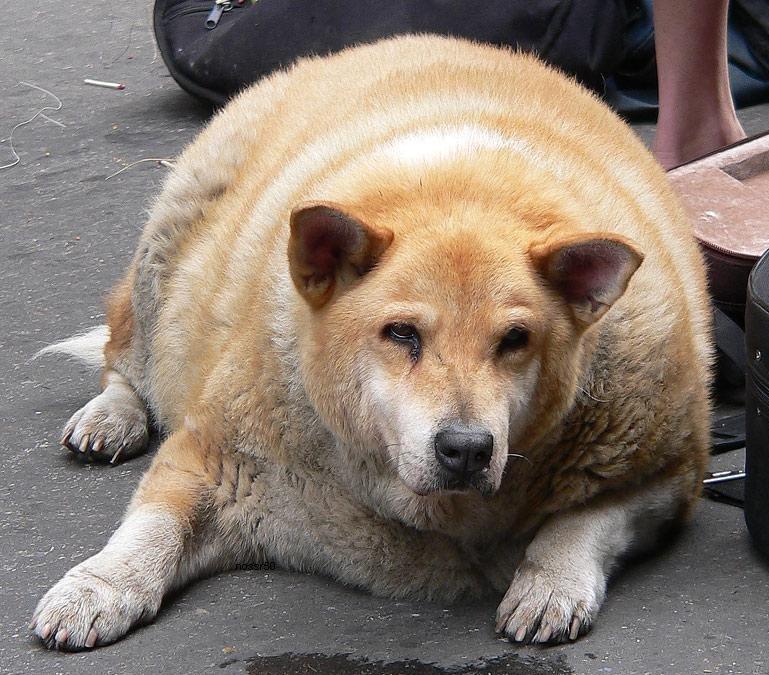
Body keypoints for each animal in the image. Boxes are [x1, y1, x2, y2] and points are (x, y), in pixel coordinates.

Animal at [31, 35, 712, 648]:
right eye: (401, 334)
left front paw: (552, 583)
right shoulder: (214, 457)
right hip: (170, 239)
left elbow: (584, 523)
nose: (467, 449)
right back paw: (112, 414)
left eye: (516, 339)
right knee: (125, 353)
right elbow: (152, 526)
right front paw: (99, 587)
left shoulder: (667, 476)